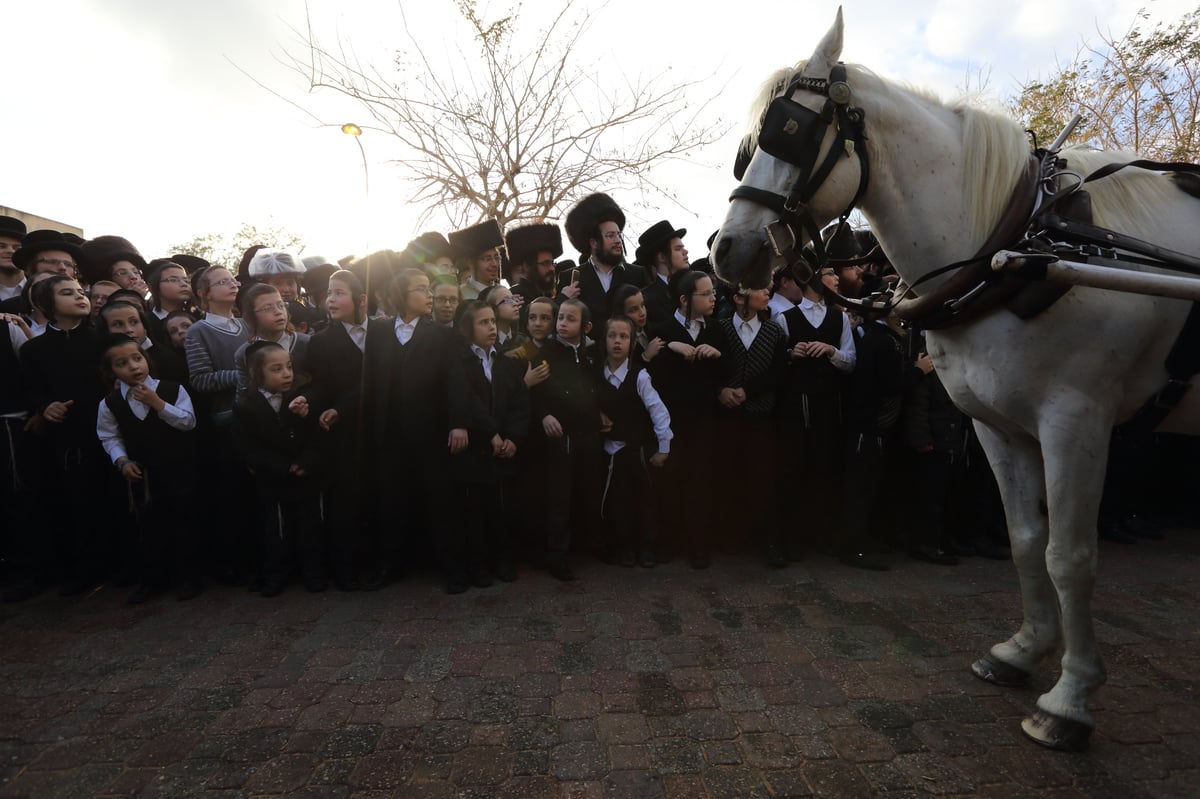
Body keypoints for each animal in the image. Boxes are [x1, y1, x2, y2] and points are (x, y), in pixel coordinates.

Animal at [710, 9, 1200, 748]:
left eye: (789, 130)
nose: (728, 251)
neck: (1018, 243)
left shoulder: (1075, 419)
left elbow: (1067, 554)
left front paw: (1068, 698)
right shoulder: (995, 424)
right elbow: (1026, 539)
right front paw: (1023, 651)